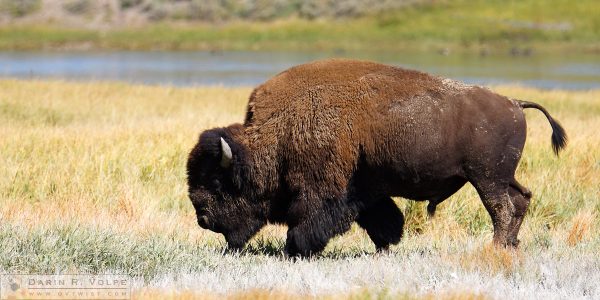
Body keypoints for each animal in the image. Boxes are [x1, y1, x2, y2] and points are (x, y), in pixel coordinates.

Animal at [185, 58, 564, 255]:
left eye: (218, 183)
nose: (203, 219)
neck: (280, 129)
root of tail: (514, 102)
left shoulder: (322, 189)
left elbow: (308, 220)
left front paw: (295, 249)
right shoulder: (365, 189)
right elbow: (382, 218)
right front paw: (386, 246)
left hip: (486, 178)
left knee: (502, 208)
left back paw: (497, 248)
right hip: (502, 176)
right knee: (522, 199)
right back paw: (511, 245)